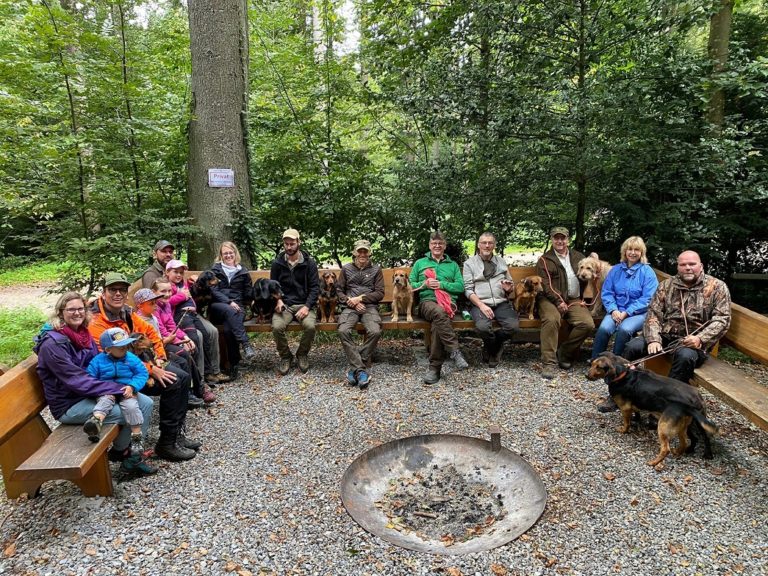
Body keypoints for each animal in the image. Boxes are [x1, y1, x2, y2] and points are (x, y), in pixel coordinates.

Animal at [588, 352, 720, 468]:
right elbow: (636, 413)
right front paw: (636, 420)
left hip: (665, 427)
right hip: (685, 427)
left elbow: (626, 423)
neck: (624, 374)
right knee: (690, 440)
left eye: (598, 367)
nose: (586, 374)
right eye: (592, 364)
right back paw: (684, 451)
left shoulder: (625, 408)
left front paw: (624, 429)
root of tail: (697, 396)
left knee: (673, 446)